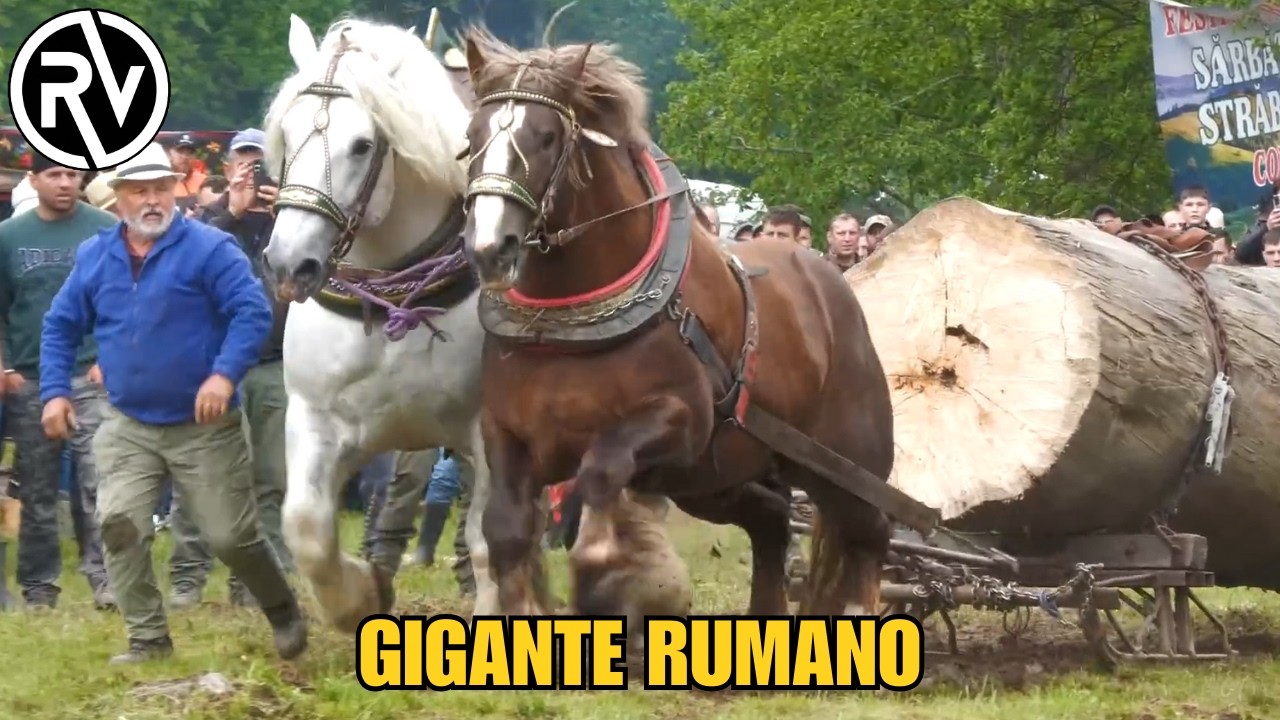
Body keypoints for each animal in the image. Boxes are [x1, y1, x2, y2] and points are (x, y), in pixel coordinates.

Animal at [259, 14, 500, 631]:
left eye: (362, 145)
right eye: (285, 135)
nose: (289, 263)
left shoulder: (492, 431)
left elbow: (490, 538)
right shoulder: (314, 418)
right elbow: (306, 526)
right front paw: (361, 596)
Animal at [456, 27, 897, 624]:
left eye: (546, 137)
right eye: (473, 135)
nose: (489, 247)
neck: (569, 318)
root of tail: (835, 284)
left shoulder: (680, 420)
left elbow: (600, 473)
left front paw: (602, 568)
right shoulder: (507, 434)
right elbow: (504, 531)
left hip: (843, 464)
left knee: (871, 533)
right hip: (717, 476)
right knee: (772, 521)